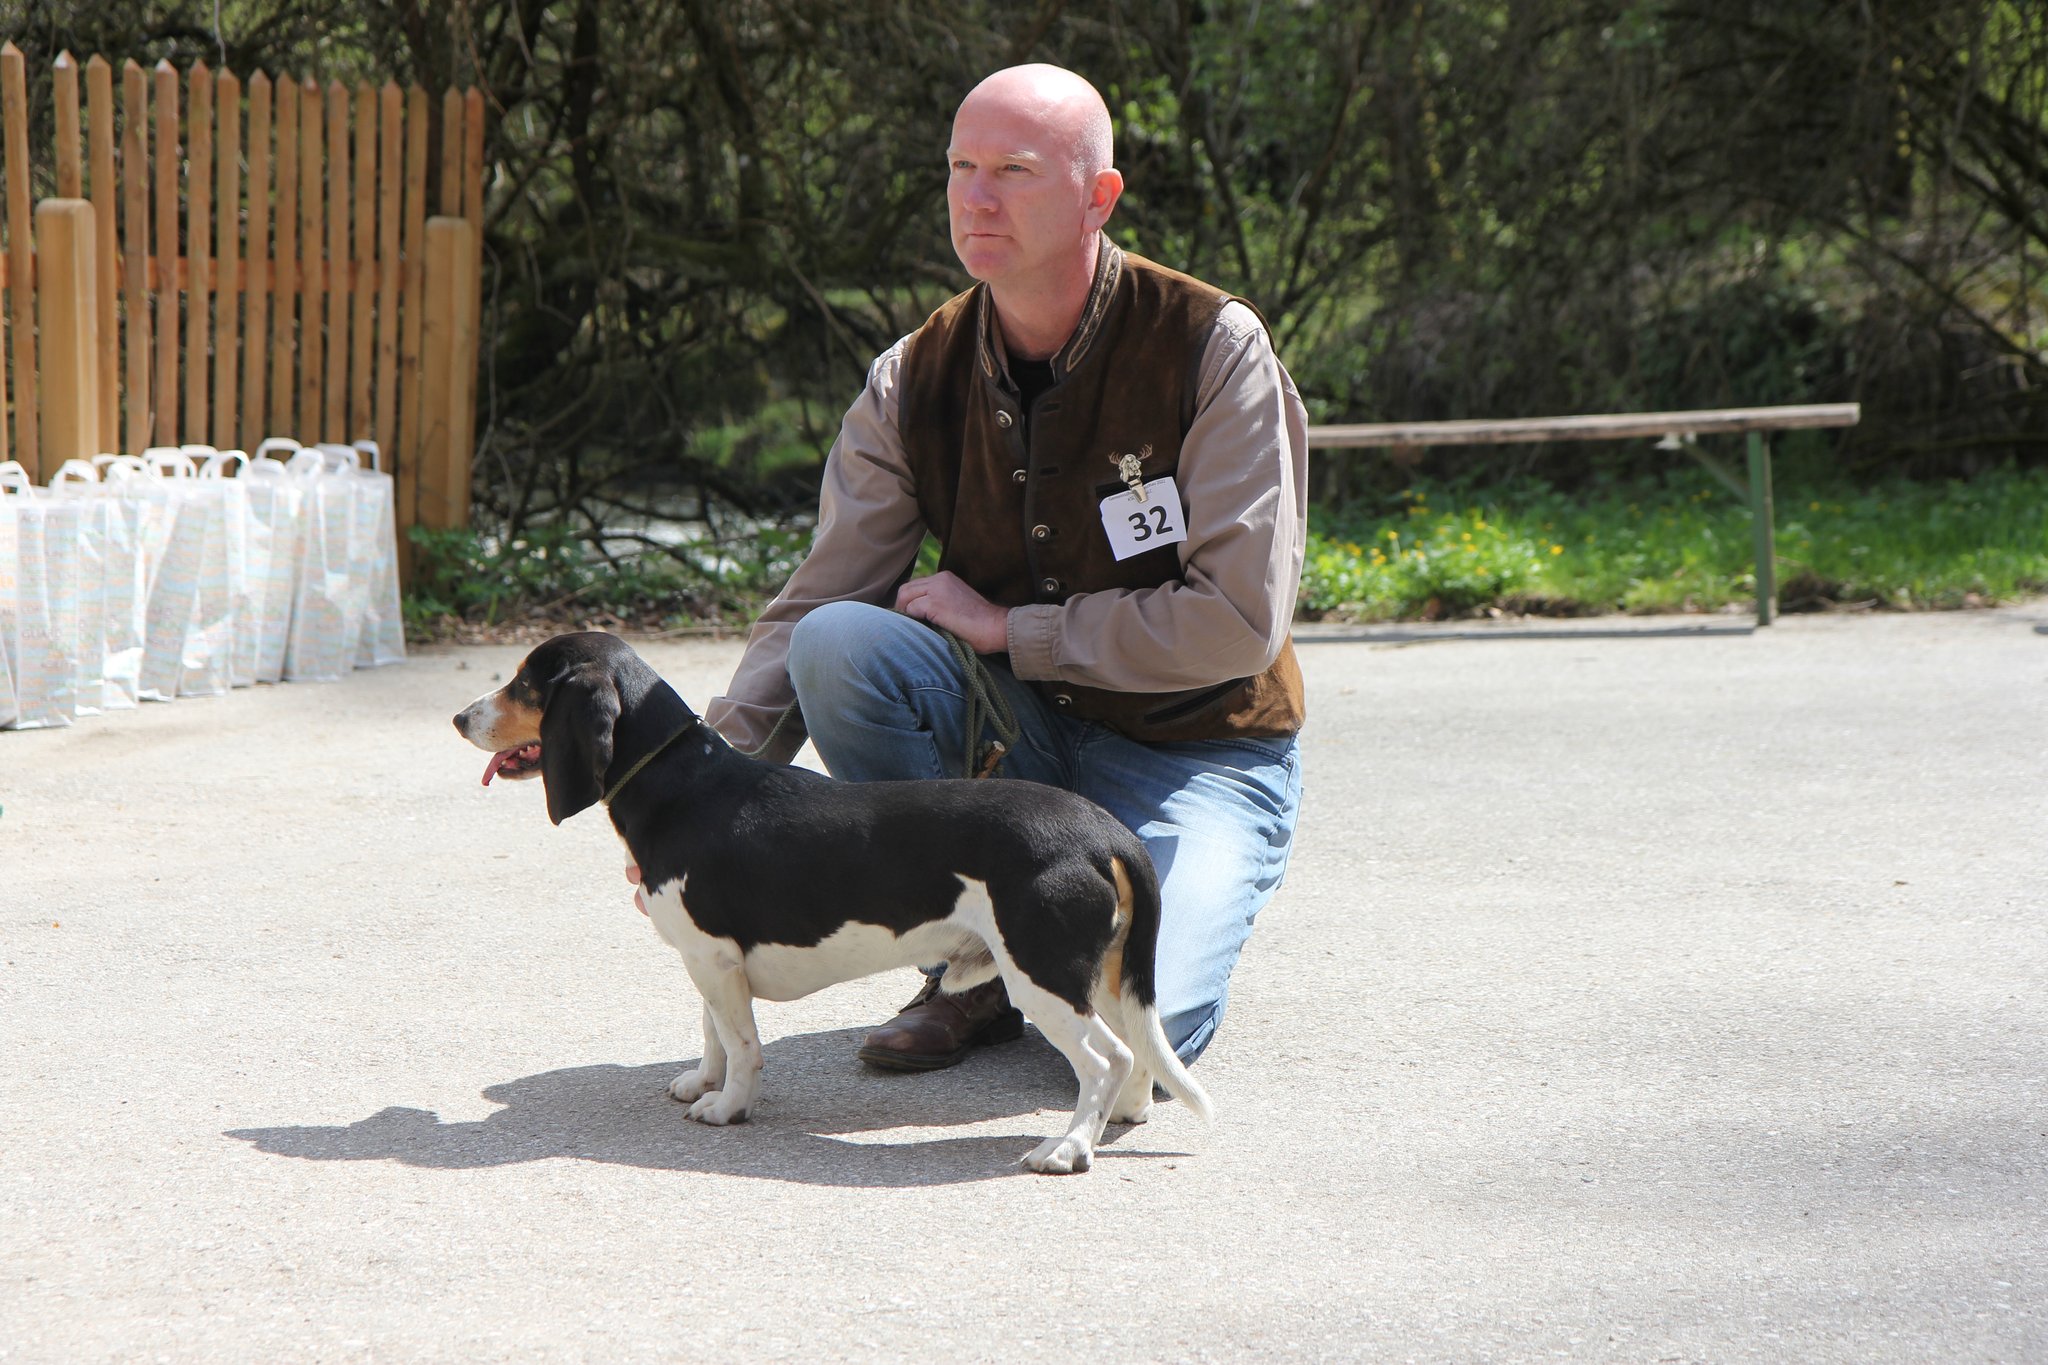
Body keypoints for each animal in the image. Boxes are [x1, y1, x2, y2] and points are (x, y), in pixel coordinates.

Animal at [453, 630, 1210, 1173]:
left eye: (526, 682)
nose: (460, 717)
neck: (682, 781)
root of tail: (1105, 830)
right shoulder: (708, 961)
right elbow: (712, 1032)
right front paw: (702, 1083)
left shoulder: (715, 960)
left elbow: (743, 1045)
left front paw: (728, 1108)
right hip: (1102, 973)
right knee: (1138, 1049)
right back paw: (1119, 1119)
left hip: (1041, 974)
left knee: (1107, 1058)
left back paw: (1069, 1148)